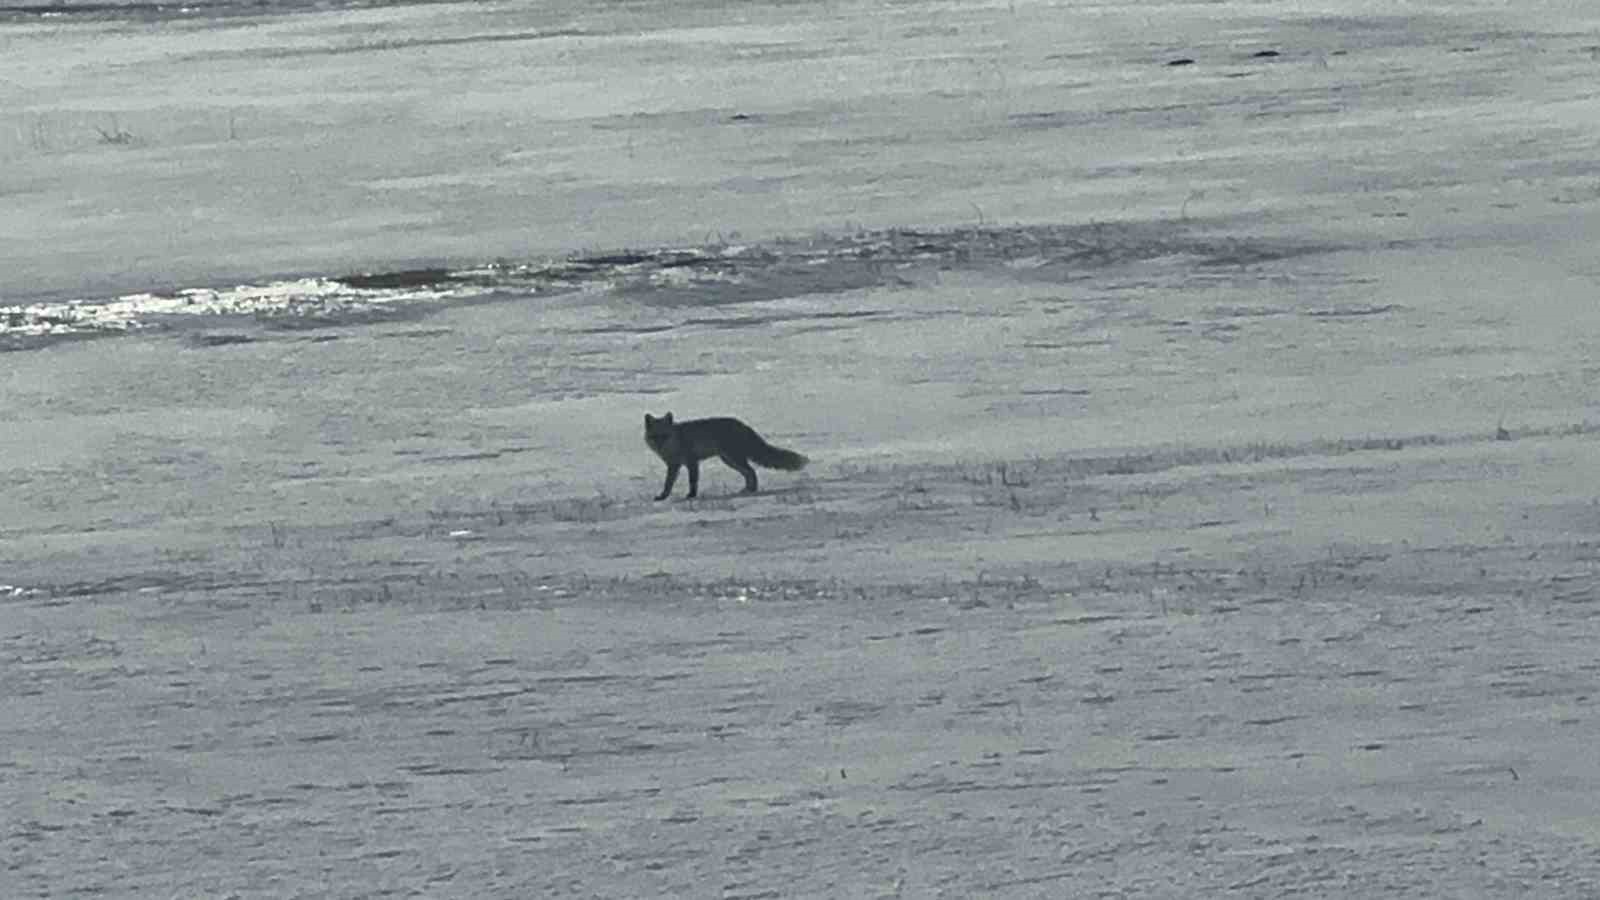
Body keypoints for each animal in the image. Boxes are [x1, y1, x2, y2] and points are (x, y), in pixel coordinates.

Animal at [643, 413, 806, 496]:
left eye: (665, 436)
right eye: (654, 437)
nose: (659, 446)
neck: (676, 443)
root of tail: (743, 425)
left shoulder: (692, 462)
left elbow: (692, 481)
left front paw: (691, 496)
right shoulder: (673, 465)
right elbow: (668, 483)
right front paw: (663, 496)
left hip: (733, 458)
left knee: (751, 472)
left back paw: (750, 491)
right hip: (729, 460)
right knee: (749, 473)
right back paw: (747, 490)